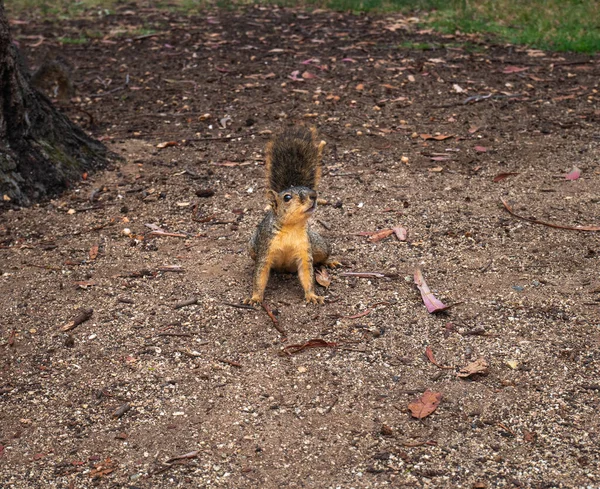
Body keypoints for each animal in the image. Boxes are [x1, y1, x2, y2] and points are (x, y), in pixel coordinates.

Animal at [244, 125, 338, 304]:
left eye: (311, 190)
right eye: (287, 198)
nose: (314, 196)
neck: (291, 227)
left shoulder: (304, 250)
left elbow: (307, 274)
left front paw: (312, 295)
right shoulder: (265, 249)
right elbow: (259, 275)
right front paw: (255, 297)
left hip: (319, 245)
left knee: (323, 256)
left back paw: (330, 261)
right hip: (252, 247)